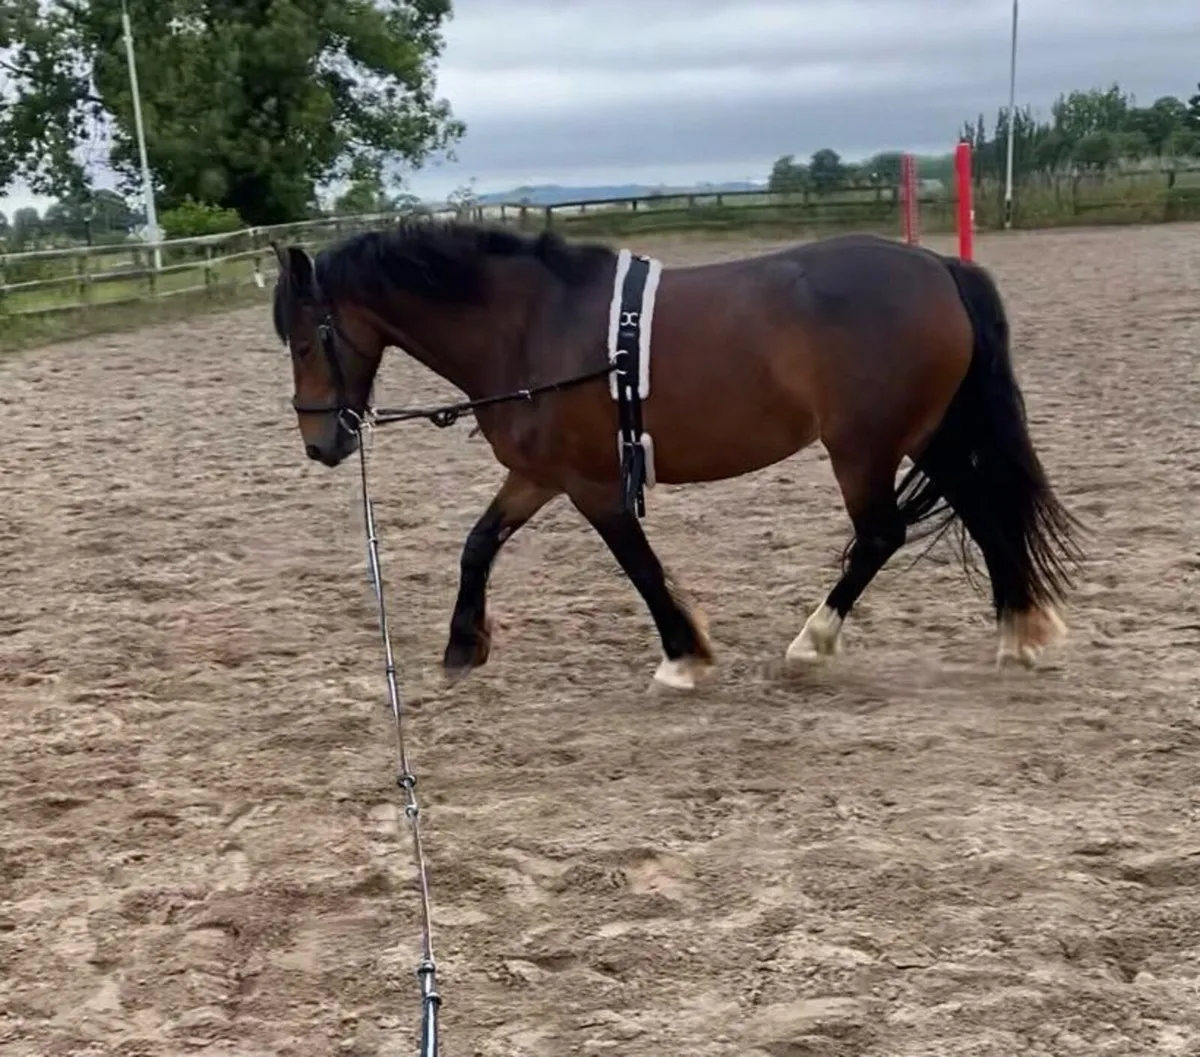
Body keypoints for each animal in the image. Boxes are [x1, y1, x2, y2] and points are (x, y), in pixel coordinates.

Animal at [268, 220, 1083, 691]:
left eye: (305, 340)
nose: (320, 442)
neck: (530, 326)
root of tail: (942, 270)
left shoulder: (591, 483)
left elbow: (639, 564)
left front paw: (682, 654)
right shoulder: (538, 474)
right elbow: (478, 544)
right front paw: (464, 643)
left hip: (865, 446)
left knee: (882, 534)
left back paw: (812, 643)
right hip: (929, 435)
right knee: (985, 513)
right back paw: (1020, 631)